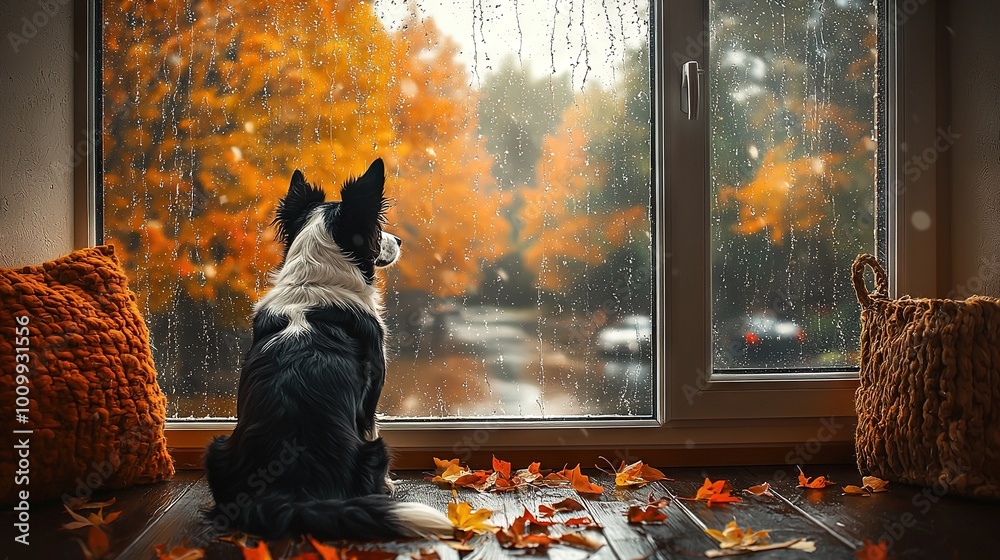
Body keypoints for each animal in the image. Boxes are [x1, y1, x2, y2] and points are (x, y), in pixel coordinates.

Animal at [205, 159, 452, 544]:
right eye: (378, 231)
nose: (399, 240)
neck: (313, 278)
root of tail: (290, 494)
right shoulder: (372, 392)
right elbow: (371, 423)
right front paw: (390, 484)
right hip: (375, 451)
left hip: (216, 449)